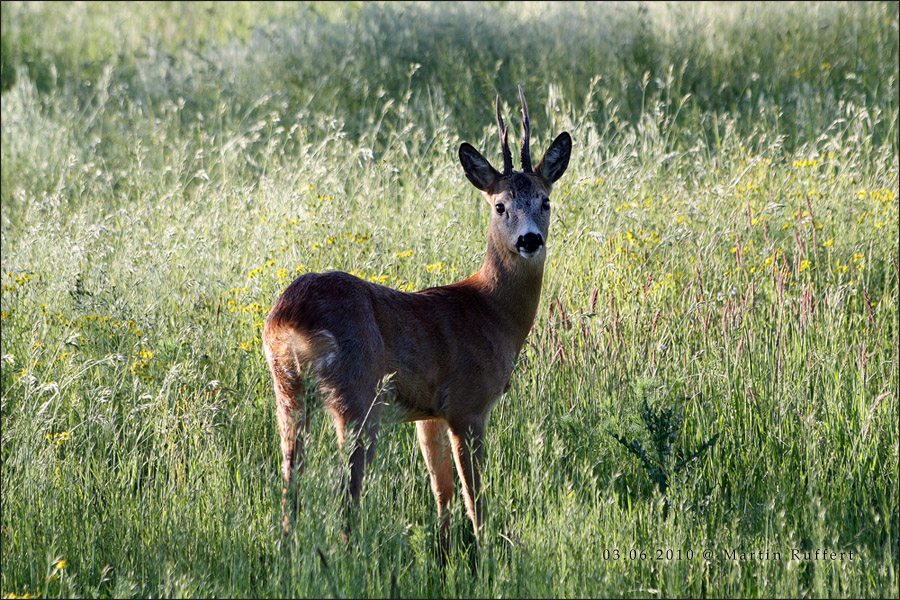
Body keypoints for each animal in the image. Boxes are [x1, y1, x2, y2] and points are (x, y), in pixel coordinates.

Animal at [262, 84, 568, 548]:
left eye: (545, 201)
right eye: (500, 206)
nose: (529, 240)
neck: (492, 312)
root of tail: (291, 315)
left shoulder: (428, 415)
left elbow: (441, 491)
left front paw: (444, 552)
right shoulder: (468, 405)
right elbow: (473, 494)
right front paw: (484, 550)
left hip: (288, 390)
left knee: (290, 481)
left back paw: (287, 549)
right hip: (358, 393)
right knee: (344, 489)